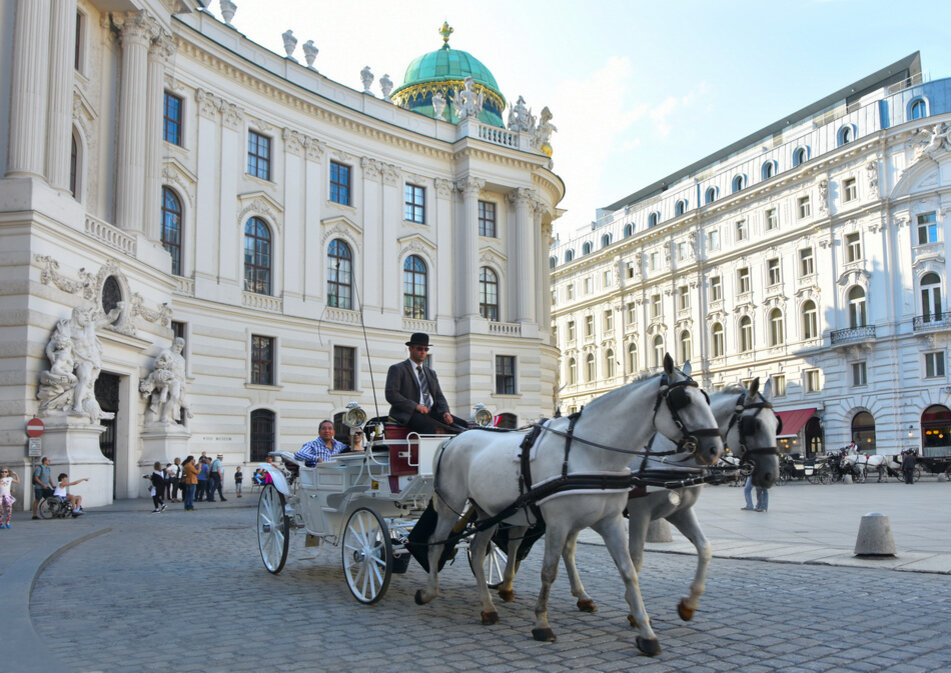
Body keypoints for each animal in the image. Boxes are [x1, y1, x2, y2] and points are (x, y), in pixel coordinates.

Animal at [414, 354, 720, 652]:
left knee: (478, 551)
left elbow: (629, 570)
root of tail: (454, 438)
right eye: (683, 400)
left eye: (706, 398)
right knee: (436, 544)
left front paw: (646, 631)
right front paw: (542, 624)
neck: (592, 454)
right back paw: (430, 591)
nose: (714, 449)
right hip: (452, 504)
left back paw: (488, 607)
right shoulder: (561, 522)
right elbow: (549, 571)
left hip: (487, 510)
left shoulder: (611, 521)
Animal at [494, 378, 776, 624]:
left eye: (776, 425)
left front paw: (688, 604)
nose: (770, 475)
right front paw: (634, 612)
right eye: (752, 425)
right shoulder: (641, 513)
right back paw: (506, 584)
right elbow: (636, 558)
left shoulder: (679, 511)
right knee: (516, 540)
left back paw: (577, 595)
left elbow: (705, 549)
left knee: (564, 548)